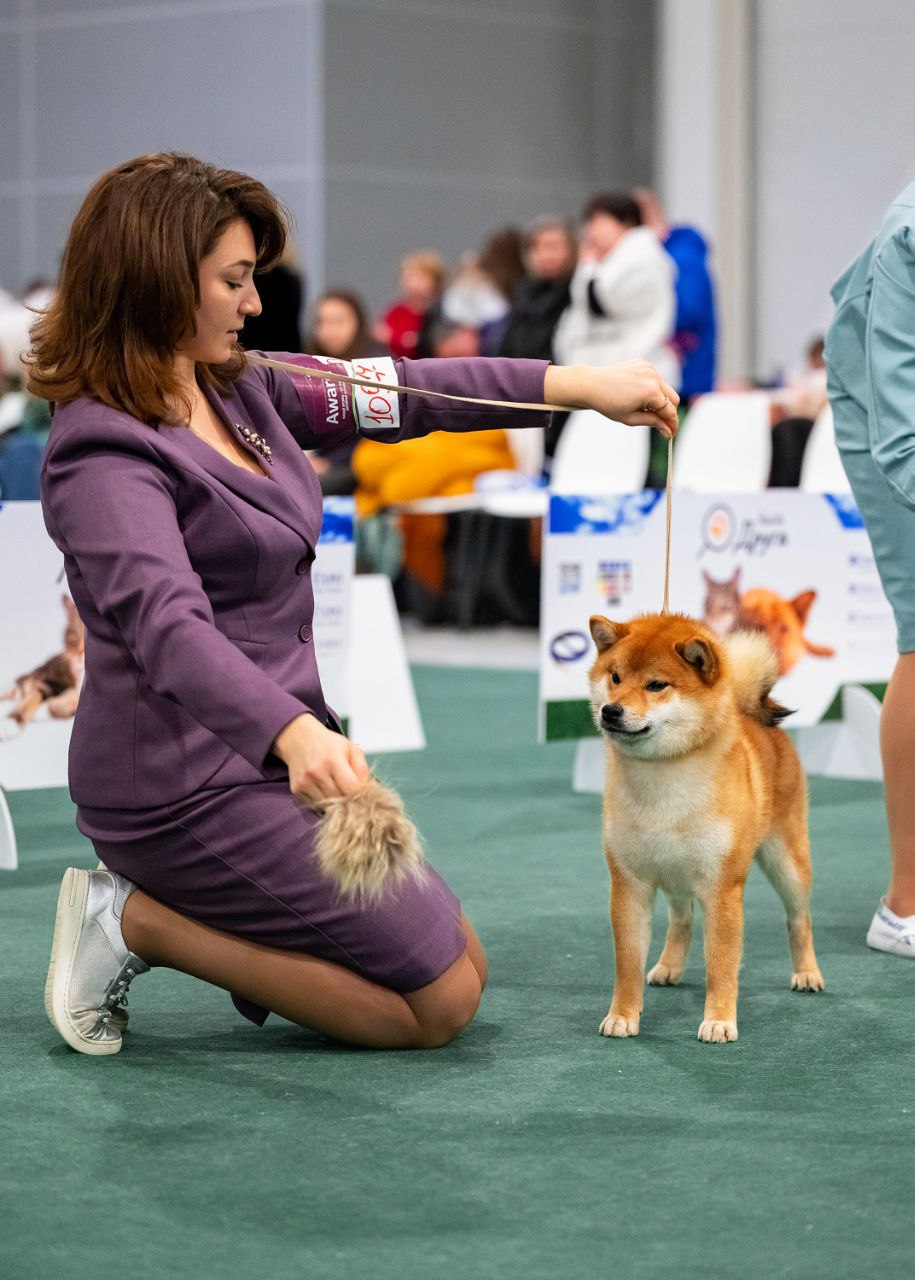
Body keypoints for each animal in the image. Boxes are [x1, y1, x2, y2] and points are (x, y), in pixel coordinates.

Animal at [591, 614, 829, 1044]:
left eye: (657, 685)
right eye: (614, 677)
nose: (610, 711)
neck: (664, 780)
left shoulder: (722, 888)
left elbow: (721, 965)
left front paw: (719, 1021)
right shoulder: (629, 884)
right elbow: (627, 963)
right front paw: (622, 1016)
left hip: (786, 863)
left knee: (799, 919)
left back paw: (807, 973)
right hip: (674, 873)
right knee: (681, 919)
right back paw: (668, 966)